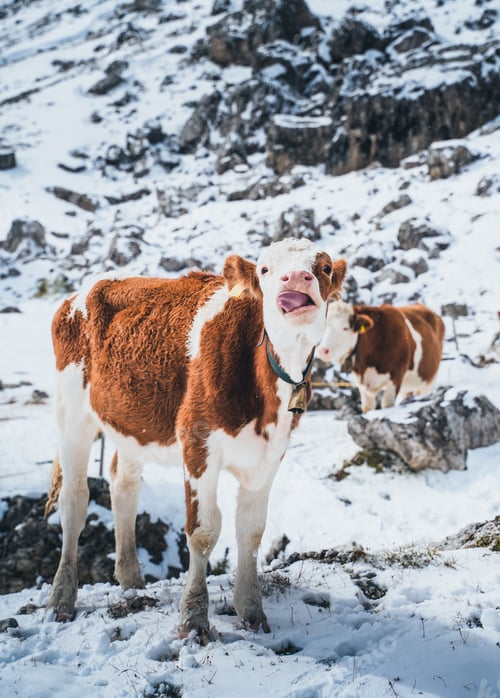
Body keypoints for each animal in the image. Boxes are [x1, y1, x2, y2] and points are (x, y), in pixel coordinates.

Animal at [46, 238, 347, 641]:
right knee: (75, 500)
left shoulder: (269, 454)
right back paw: (61, 598)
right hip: (72, 413)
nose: (296, 278)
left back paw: (131, 581)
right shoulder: (197, 441)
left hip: (129, 423)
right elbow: (204, 531)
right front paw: (193, 619)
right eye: (265, 269)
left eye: (324, 268)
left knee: (124, 487)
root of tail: (82, 291)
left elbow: (251, 530)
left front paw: (252, 612)